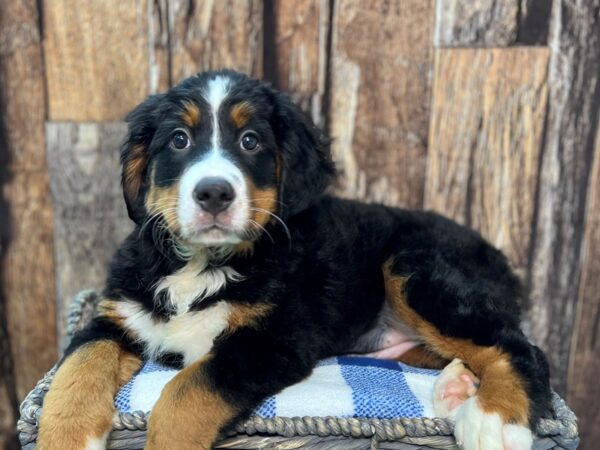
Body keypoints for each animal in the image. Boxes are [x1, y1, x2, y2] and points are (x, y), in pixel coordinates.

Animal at [38, 69, 552, 450]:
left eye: (250, 141)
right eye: (179, 140)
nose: (213, 193)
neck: (201, 264)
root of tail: (500, 259)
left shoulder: (273, 339)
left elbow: (185, 392)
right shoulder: (117, 318)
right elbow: (76, 369)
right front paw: (65, 438)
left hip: (415, 268)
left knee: (519, 345)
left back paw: (493, 420)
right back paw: (454, 389)